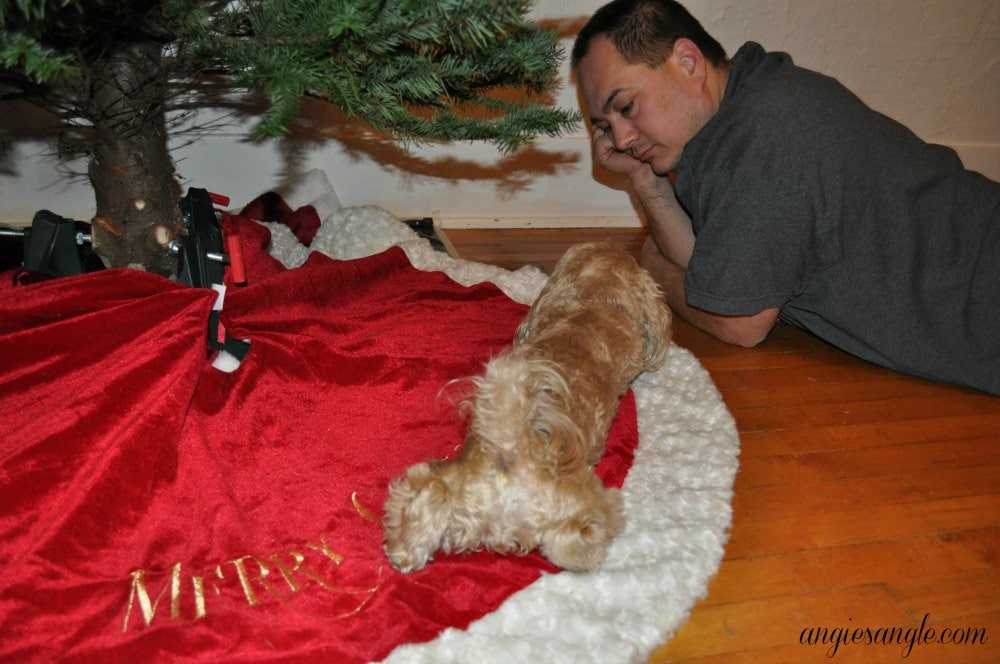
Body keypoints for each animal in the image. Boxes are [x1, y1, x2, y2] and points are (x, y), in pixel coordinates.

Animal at [382, 241, 672, 572]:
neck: (595, 300)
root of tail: (512, 455)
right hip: (585, 513)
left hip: (432, 479)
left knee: (430, 496)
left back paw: (405, 551)